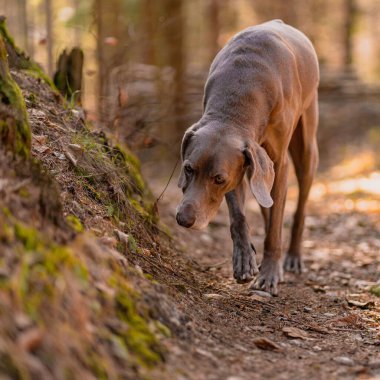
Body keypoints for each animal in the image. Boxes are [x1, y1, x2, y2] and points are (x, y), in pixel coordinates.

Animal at [177, 19, 320, 296]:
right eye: (188, 169)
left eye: (218, 179)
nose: (183, 219)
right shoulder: (242, 165)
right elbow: (239, 216)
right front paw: (244, 259)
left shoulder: (277, 163)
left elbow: (276, 228)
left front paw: (269, 273)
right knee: (267, 204)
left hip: (306, 142)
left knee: (299, 205)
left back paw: (293, 257)